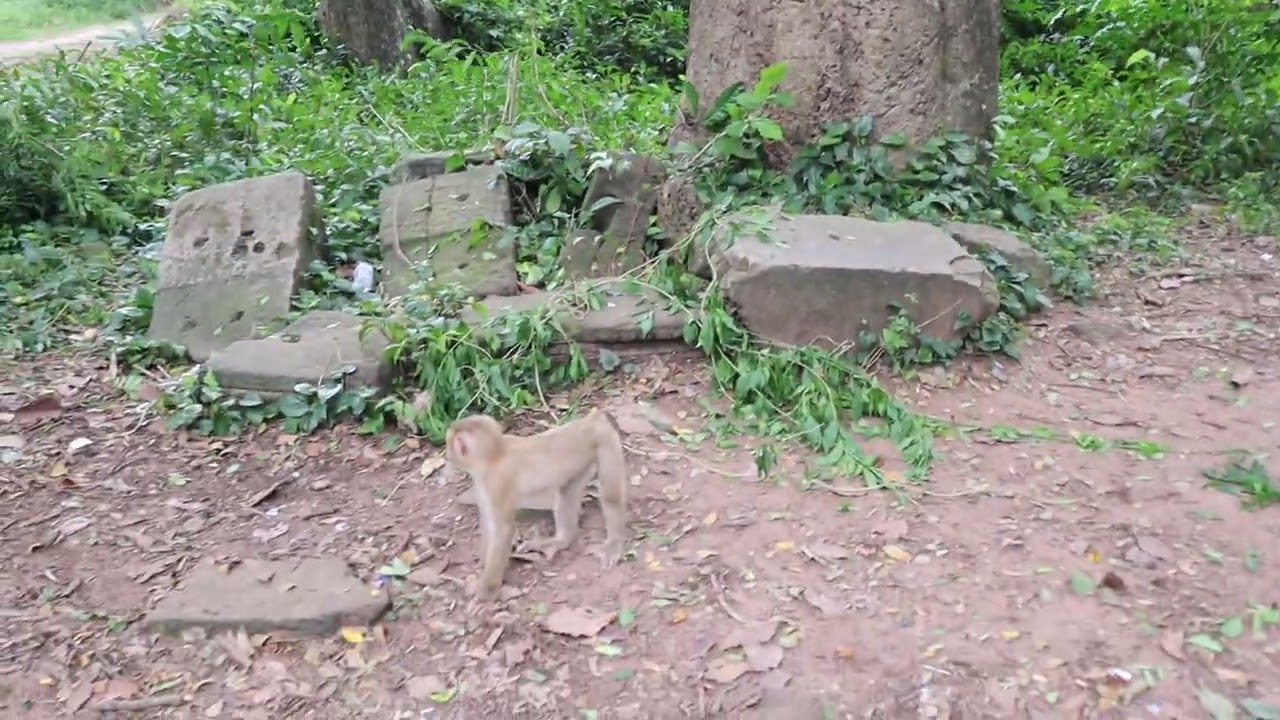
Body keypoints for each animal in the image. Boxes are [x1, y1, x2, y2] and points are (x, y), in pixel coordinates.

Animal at [444, 411, 628, 600]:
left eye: (449, 444)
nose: (447, 453)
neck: (495, 455)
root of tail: (593, 420)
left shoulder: (496, 483)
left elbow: (503, 530)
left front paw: (488, 589)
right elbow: (489, 522)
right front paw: (484, 563)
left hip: (606, 442)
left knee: (611, 497)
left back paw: (613, 545)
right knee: (566, 493)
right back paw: (560, 541)